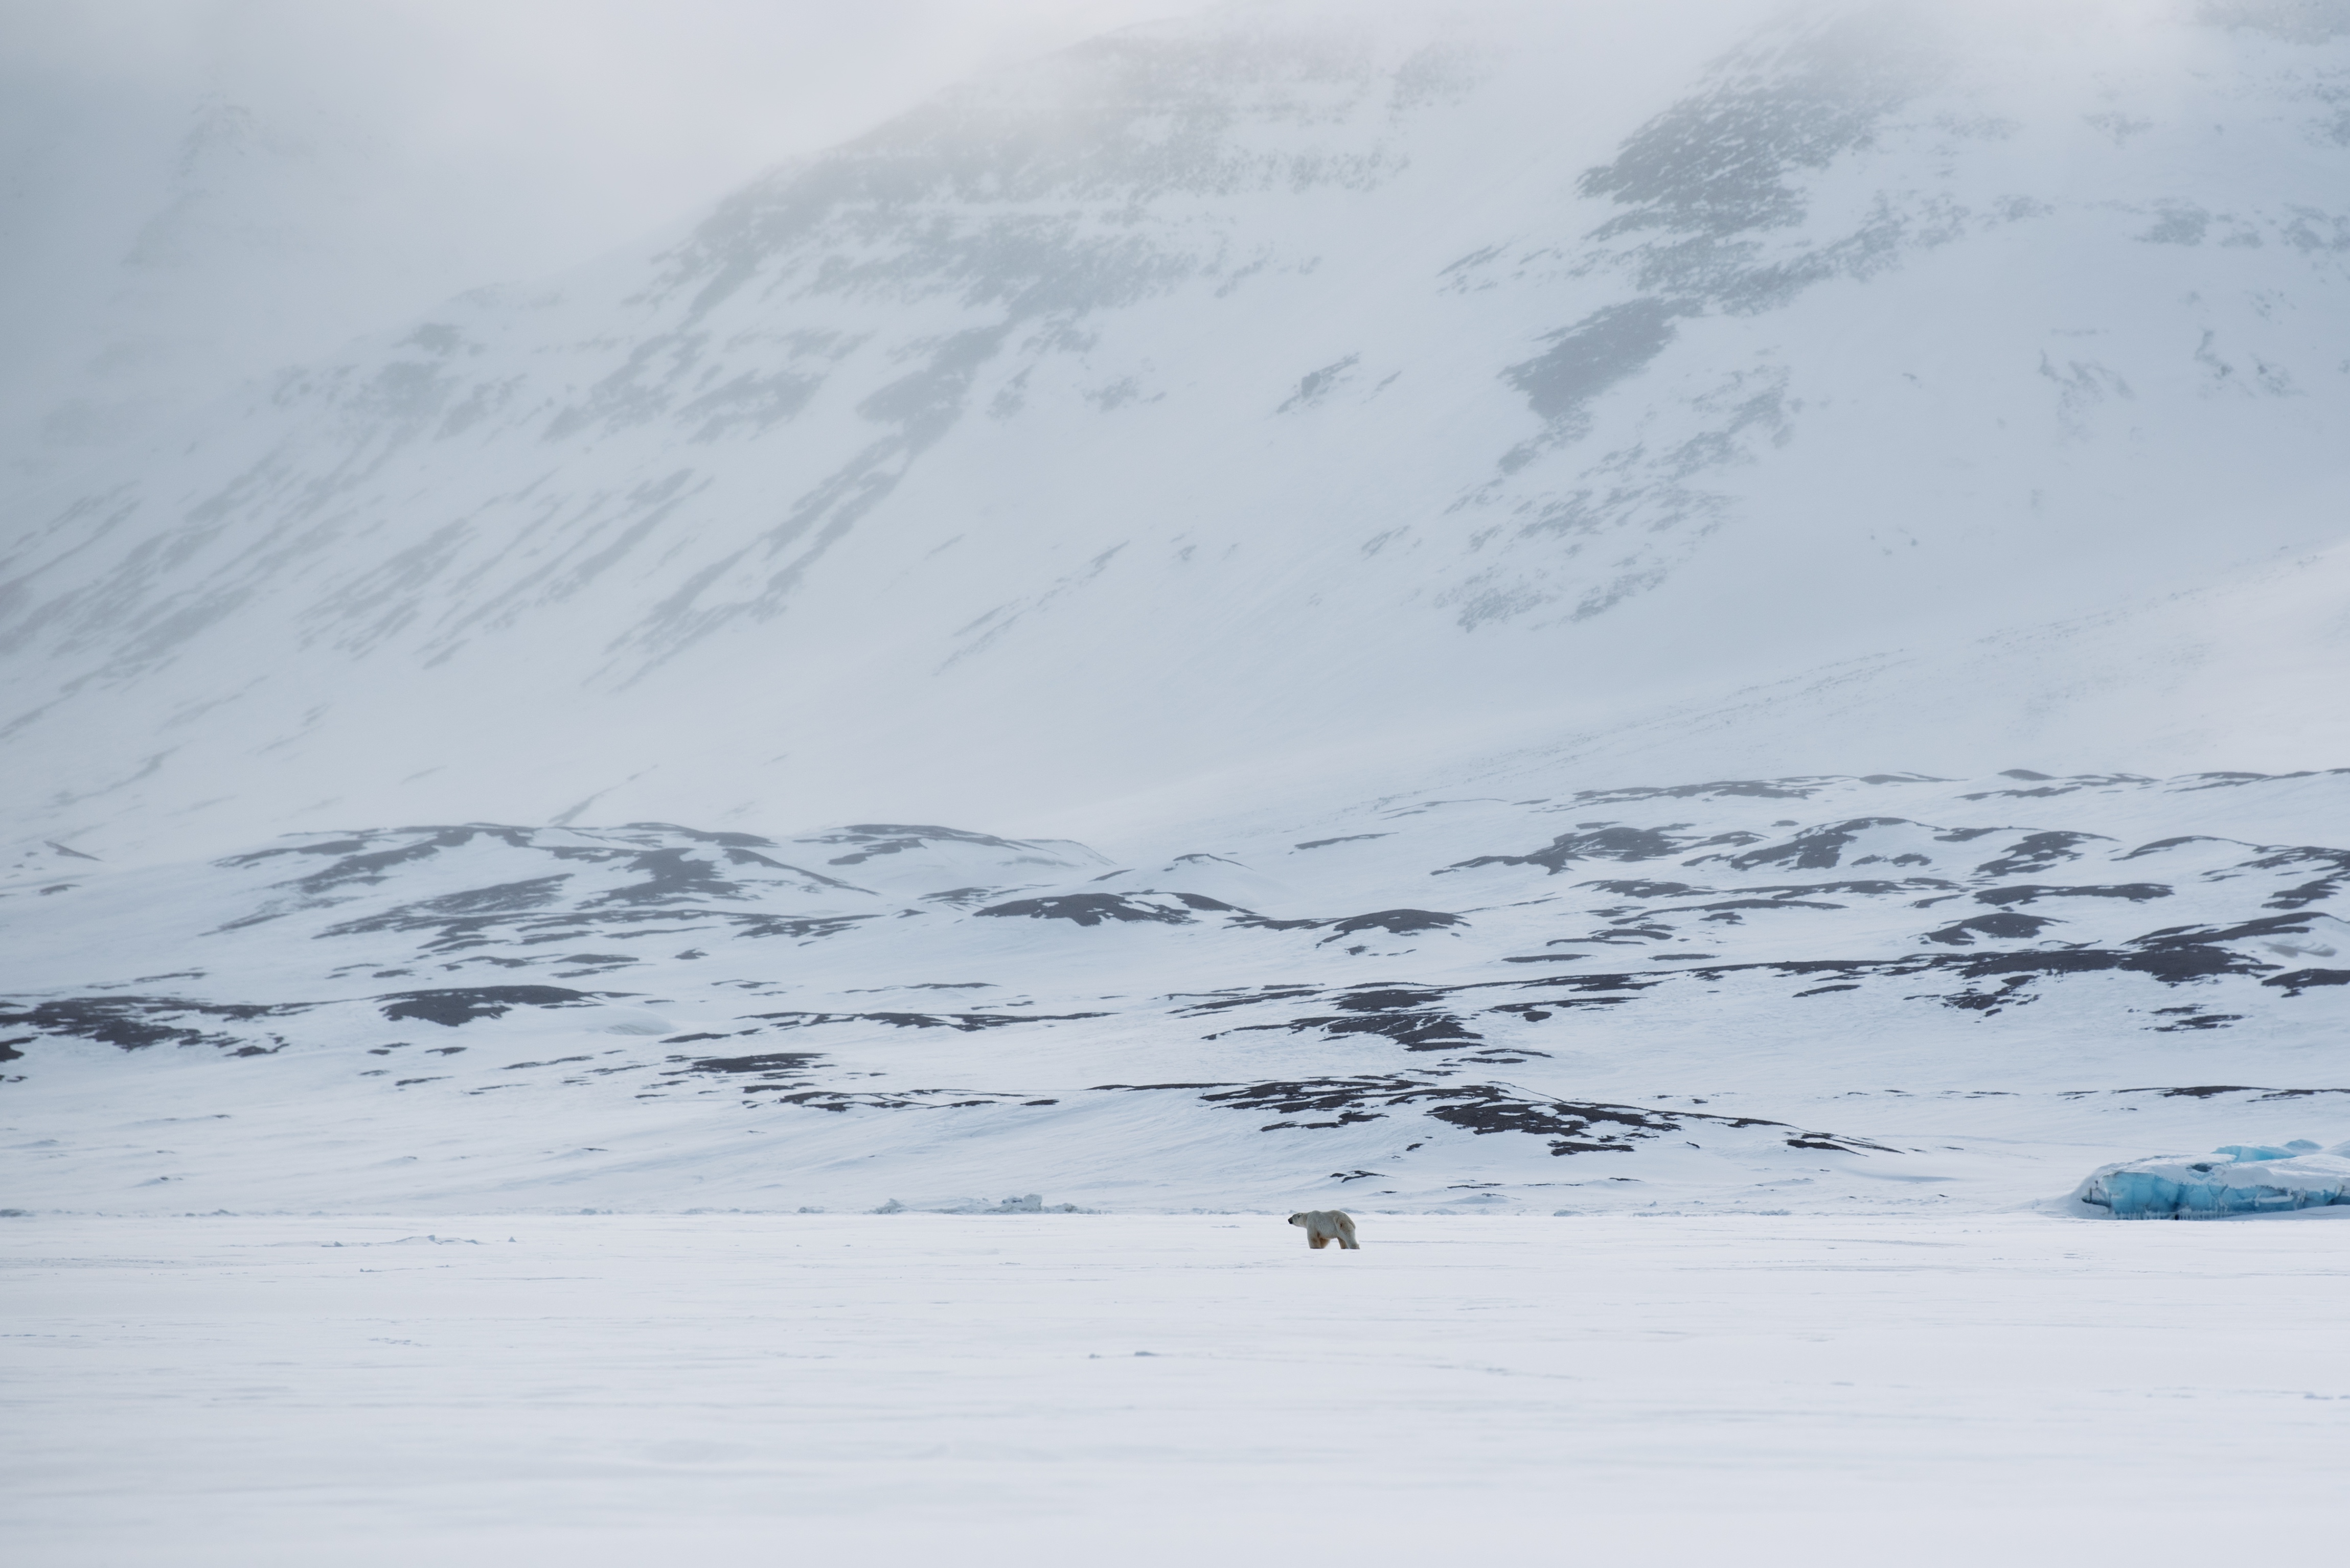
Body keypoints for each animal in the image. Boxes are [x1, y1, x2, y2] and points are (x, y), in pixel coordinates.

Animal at [1287, 1210, 1359, 1250]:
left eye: (1293, 1216)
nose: (1288, 1219)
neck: (1307, 1217)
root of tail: (1350, 1220)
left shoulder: (1312, 1224)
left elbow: (1313, 1238)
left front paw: (1315, 1248)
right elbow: (1323, 1239)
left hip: (1342, 1225)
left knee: (1349, 1237)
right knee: (1342, 1240)